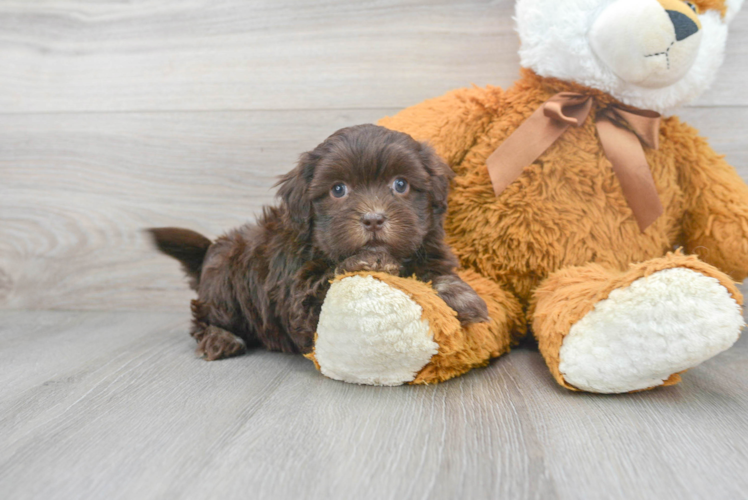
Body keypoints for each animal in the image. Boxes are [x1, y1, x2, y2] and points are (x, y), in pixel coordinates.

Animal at [150, 123, 490, 362]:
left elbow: (438, 273)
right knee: (204, 318)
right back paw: (219, 339)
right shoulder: (298, 296)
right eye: (338, 190)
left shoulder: (428, 250)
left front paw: (462, 297)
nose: (373, 219)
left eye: (401, 184)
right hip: (225, 286)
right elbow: (325, 286)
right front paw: (369, 261)